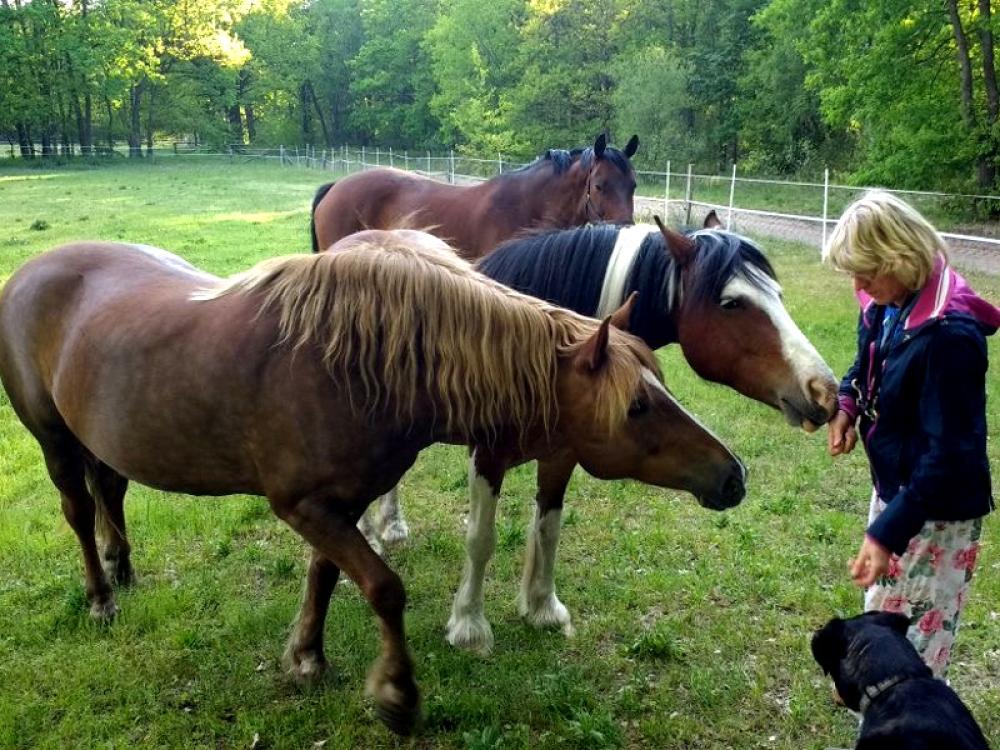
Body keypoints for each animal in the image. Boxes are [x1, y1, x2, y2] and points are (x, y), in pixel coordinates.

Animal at [0, 231, 744, 740]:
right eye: (637, 407)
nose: (732, 475)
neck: (358, 363)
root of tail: (29, 272)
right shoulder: (303, 504)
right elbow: (384, 587)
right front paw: (396, 693)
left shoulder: (339, 504)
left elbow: (326, 577)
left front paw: (306, 657)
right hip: (53, 439)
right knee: (77, 509)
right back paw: (100, 596)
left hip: (100, 437)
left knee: (110, 492)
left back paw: (123, 567)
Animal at [364, 213, 840, 656]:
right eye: (731, 302)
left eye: (778, 294)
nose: (824, 389)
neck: (546, 350)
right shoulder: (488, 457)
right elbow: (481, 538)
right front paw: (469, 626)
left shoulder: (563, 455)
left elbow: (549, 528)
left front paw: (543, 607)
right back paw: (377, 530)